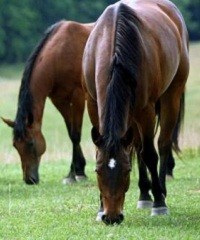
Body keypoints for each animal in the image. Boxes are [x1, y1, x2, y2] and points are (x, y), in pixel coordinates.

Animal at [2, 21, 94, 186]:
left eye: (31, 143)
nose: (29, 180)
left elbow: (75, 135)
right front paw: (75, 171)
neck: (60, 54)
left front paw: (77, 174)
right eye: (15, 145)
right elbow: (70, 133)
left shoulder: (77, 97)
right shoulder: (60, 100)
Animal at [83, 0, 189, 225]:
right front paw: (99, 208)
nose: (112, 217)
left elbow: (149, 154)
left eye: (126, 171)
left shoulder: (146, 110)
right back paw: (144, 195)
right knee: (138, 146)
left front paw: (159, 203)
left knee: (162, 144)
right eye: (97, 170)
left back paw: (160, 192)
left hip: (171, 96)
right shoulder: (93, 104)